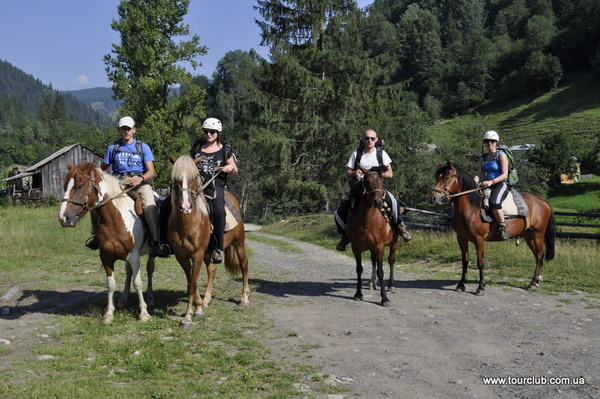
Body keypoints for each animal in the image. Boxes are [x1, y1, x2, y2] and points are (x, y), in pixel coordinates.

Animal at [58, 161, 155, 324]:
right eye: (64, 186)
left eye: (80, 185)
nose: (64, 218)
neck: (115, 218)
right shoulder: (106, 257)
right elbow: (111, 284)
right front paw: (109, 314)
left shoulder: (134, 256)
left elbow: (137, 282)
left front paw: (143, 313)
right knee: (129, 272)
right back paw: (123, 299)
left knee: (150, 269)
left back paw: (150, 296)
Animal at [168, 156, 250, 328]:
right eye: (175, 179)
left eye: (194, 177)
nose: (185, 206)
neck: (188, 223)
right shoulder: (181, 256)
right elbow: (191, 281)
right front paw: (198, 307)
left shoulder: (197, 254)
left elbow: (192, 284)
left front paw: (187, 318)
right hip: (209, 253)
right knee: (212, 270)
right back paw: (206, 300)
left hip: (238, 242)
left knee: (244, 264)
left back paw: (244, 298)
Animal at [346, 171, 398, 306]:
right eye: (367, 181)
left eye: (382, 181)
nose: (378, 201)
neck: (367, 222)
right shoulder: (356, 247)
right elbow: (359, 269)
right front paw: (358, 294)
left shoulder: (380, 247)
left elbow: (381, 271)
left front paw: (384, 298)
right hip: (371, 248)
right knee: (373, 261)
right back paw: (372, 283)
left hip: (394, 243)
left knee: (391, 260)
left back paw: (391, 285)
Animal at [428, 161, 556, 296]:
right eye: (436, 177)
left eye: (446, 178)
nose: (433, 197)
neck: (472, 209)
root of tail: (543, 201)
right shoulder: (461, 238)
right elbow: (465, 261)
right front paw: (461, 284)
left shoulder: (479, 240)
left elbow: (480, 262)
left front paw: (480, 287)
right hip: (529, 236)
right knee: (537, 256)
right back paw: (536, 281)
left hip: (538, 235)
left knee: (540, 255)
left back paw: (533, 283)